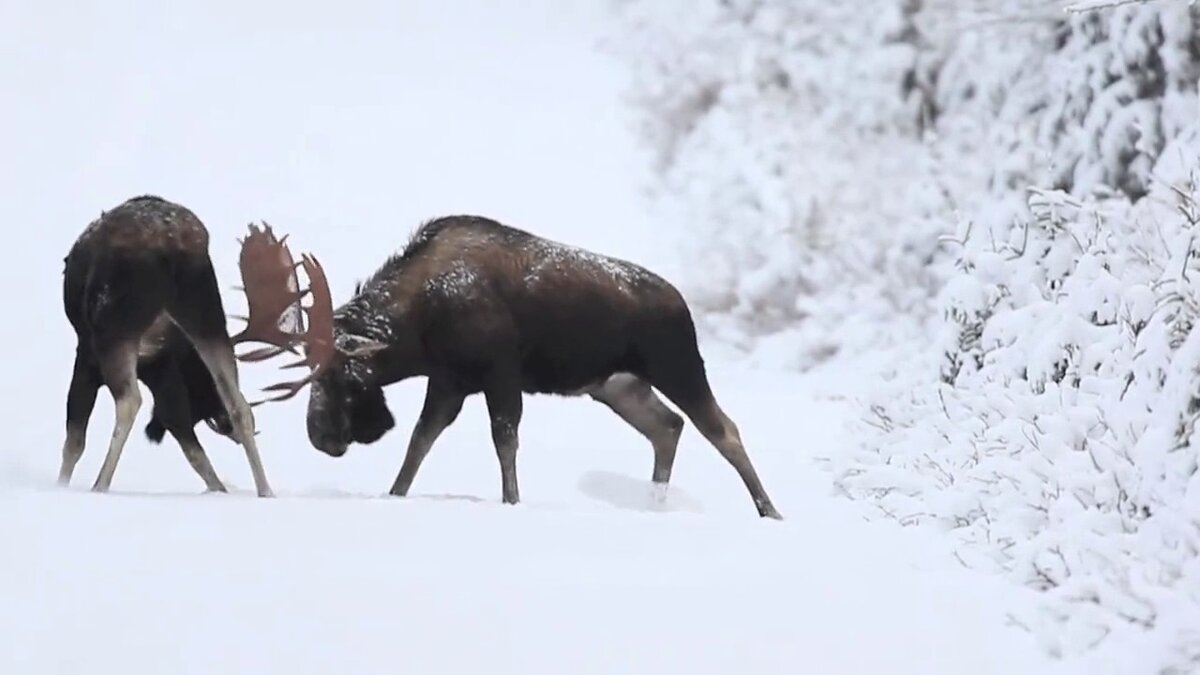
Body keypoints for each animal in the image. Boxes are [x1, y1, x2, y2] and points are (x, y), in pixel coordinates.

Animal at [59, 193, 273, 494]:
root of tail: (171, 244)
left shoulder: (88, 356)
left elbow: (74, 441)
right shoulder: (162, 366)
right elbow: (189, 442)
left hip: (114, 330)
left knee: (129, 401)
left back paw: (100, 485)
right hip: (204, 310)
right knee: (238, 403)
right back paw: (265, 490)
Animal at [230, 214, 782, 514]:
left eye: (337, 377)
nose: (321, 437)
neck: (417, 322)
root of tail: (682, 304)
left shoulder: (498, 374)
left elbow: (504, 441)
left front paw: (511, 502)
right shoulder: (449, 381)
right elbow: (419, 443)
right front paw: (394, 494)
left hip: (677, 365)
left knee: (722, 428)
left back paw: (769, 510)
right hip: (617, 385)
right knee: (667, 427)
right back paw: (657, 503)